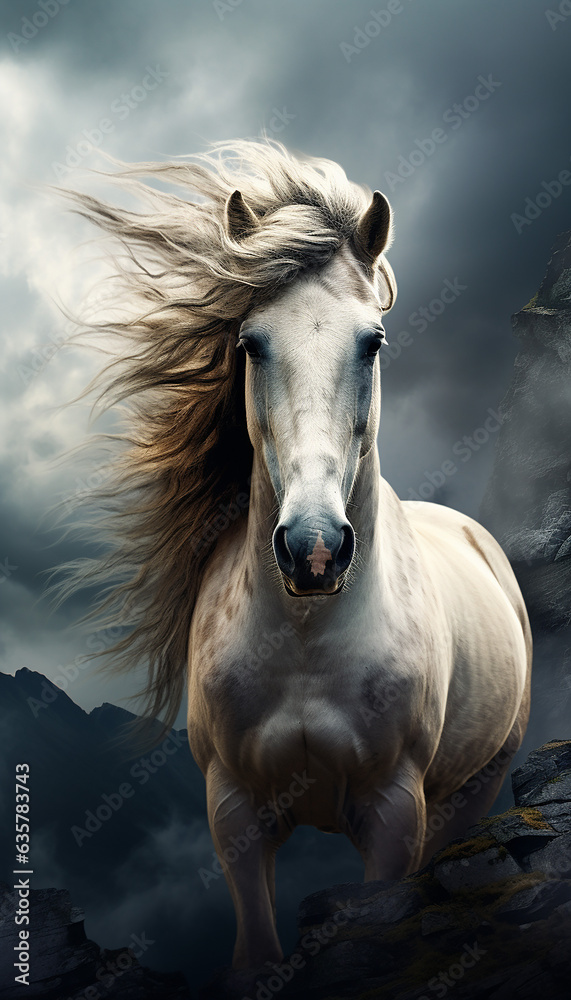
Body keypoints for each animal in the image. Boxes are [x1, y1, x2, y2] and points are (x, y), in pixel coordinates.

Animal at [61, 139, 531, 972]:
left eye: (372, 342)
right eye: (250, 343)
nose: (314, 550)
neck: (308, 644)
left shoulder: (393, 813)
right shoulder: (233, 813)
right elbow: (255, 952)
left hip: (470, 789)